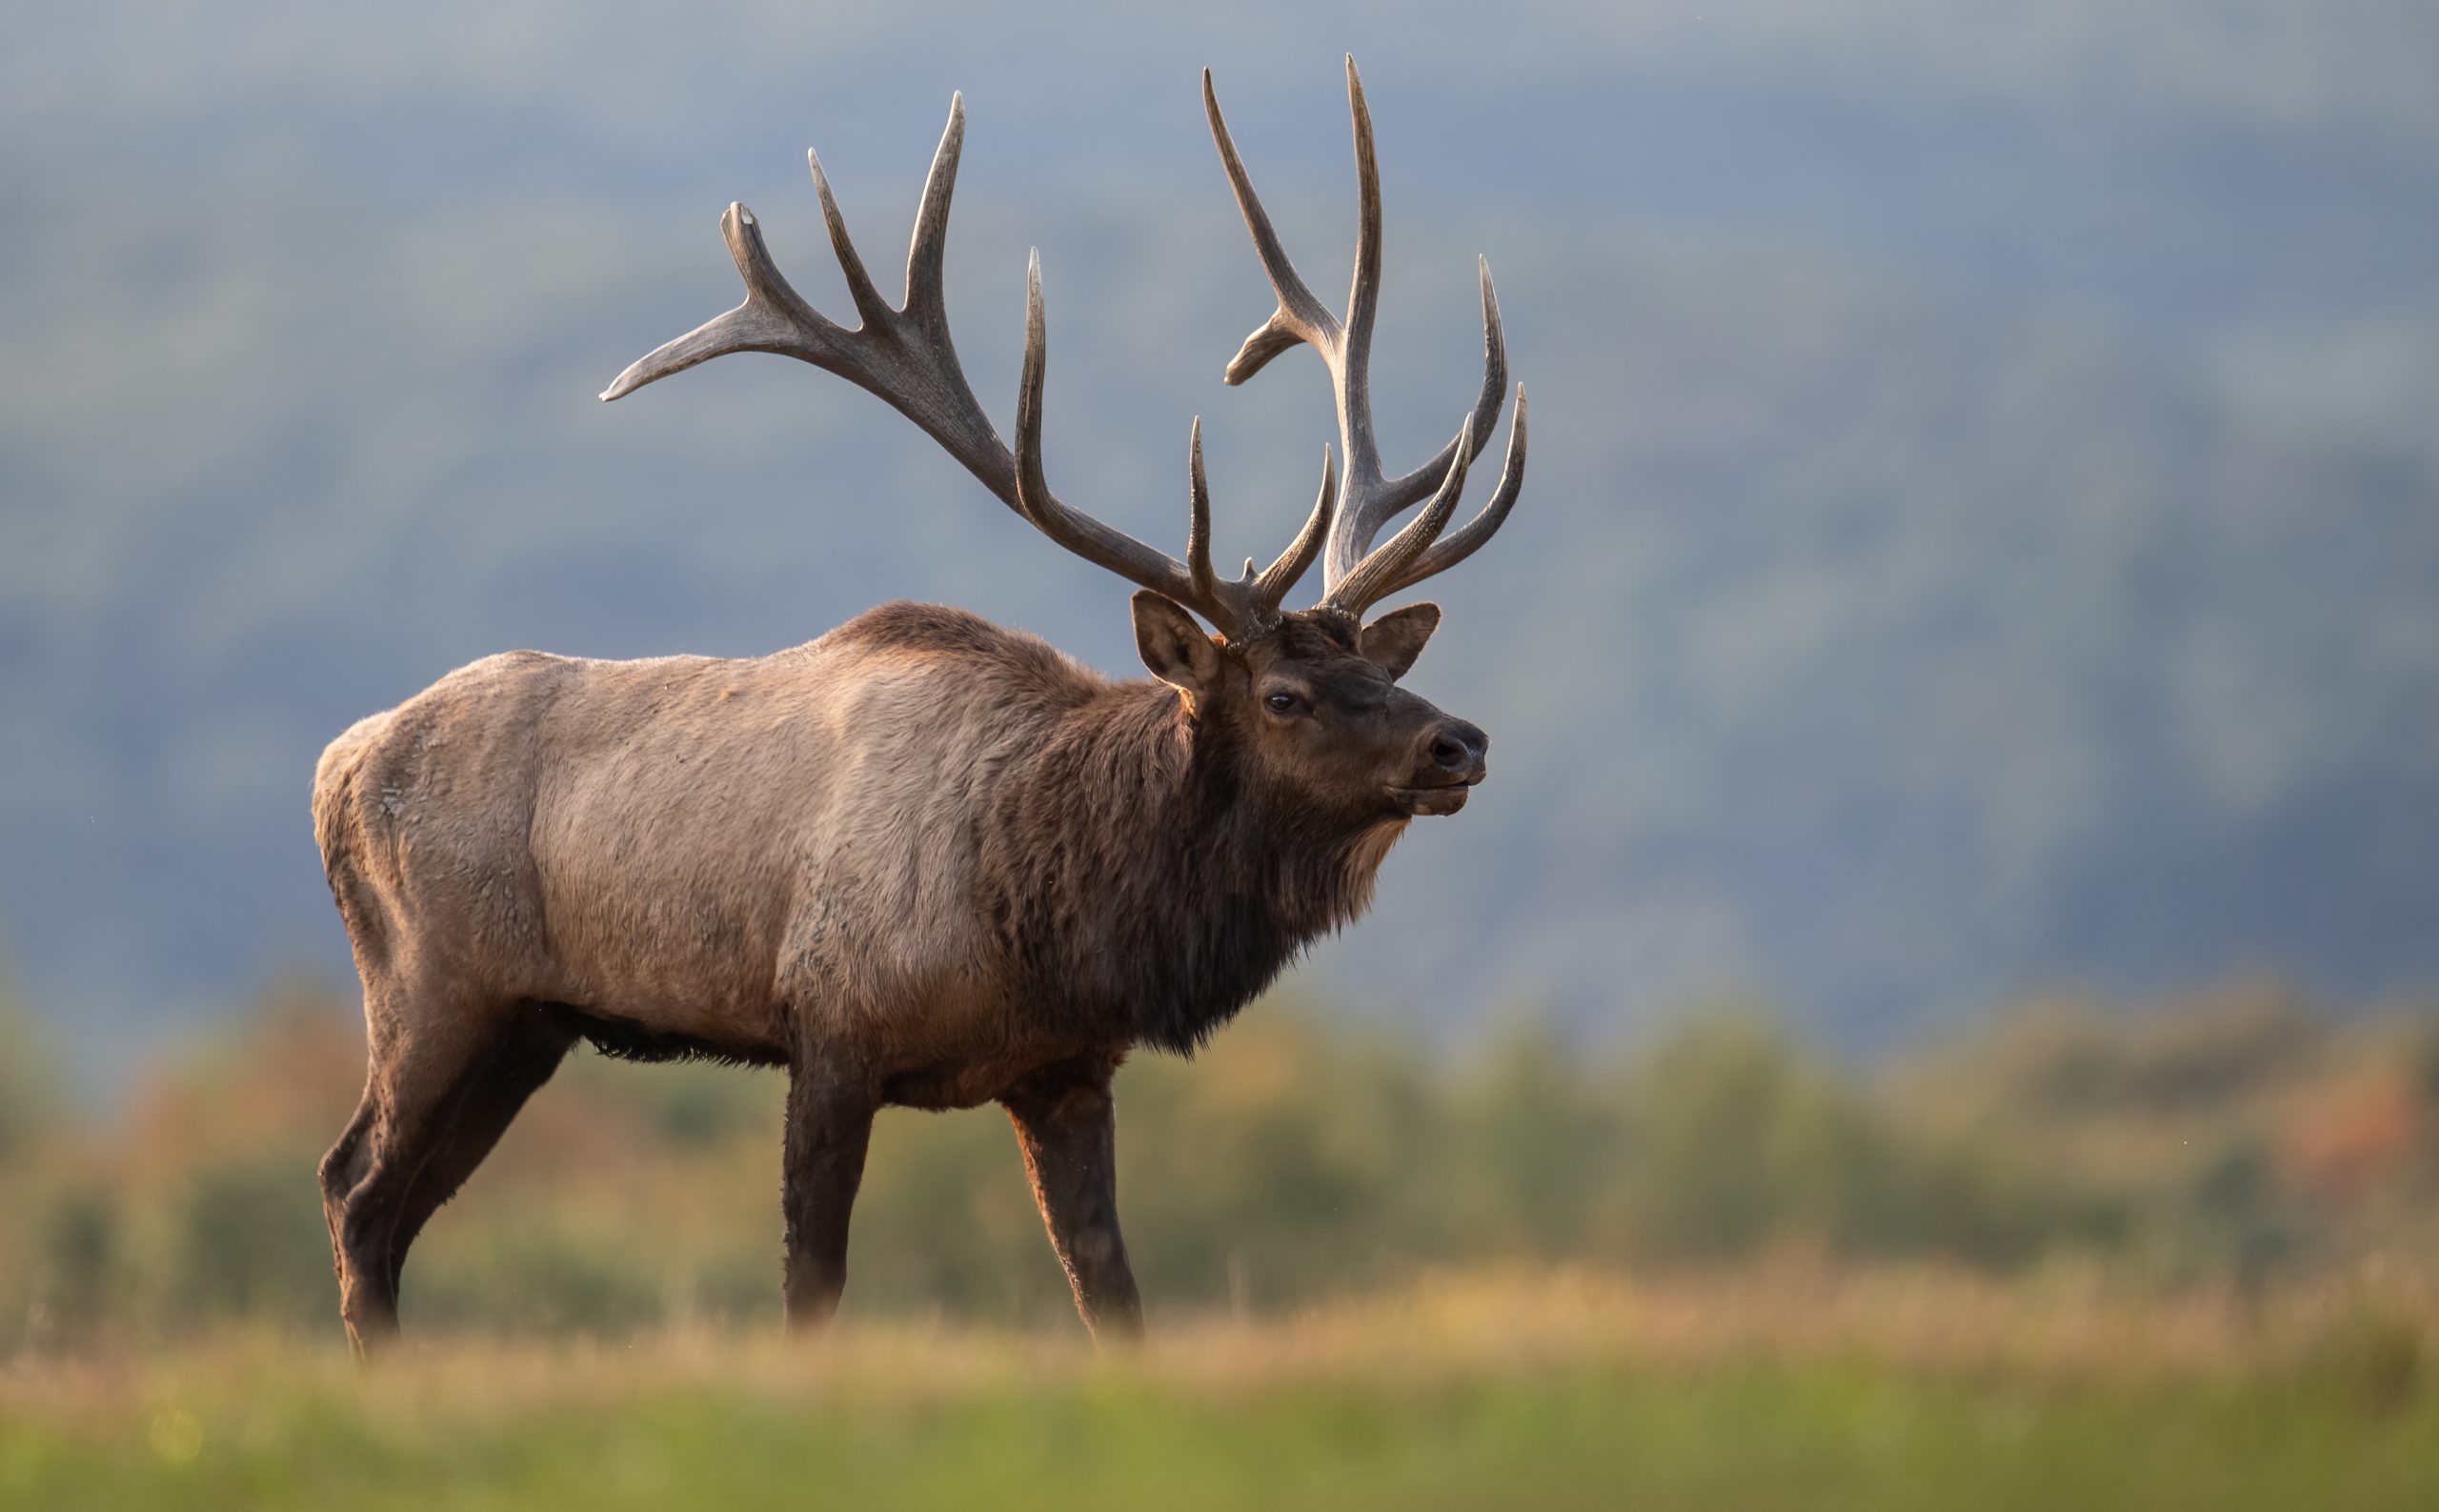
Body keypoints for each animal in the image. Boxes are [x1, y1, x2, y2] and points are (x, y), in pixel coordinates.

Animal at [312, 57, 1526, 1355]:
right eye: (1286, 694)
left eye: (1381, 674)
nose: (1458, 743)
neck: (1053, 911)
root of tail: (337, 764)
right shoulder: (830, 1028)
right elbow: (812, 1282)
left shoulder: (1065, 1069)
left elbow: (1110, 1289)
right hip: (434, 986)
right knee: (354, 1186)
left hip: (528, 1021)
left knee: (397, 1205)